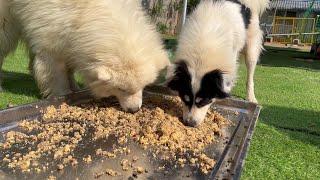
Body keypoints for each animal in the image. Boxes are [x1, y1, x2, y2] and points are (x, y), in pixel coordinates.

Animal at [0, 0, 170, 112]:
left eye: (144, 86)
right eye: (120, 88)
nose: (134, 110)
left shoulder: (71, 39)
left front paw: (75, 88)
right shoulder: (51, 38)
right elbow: (56, 74)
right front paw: (62, 94)